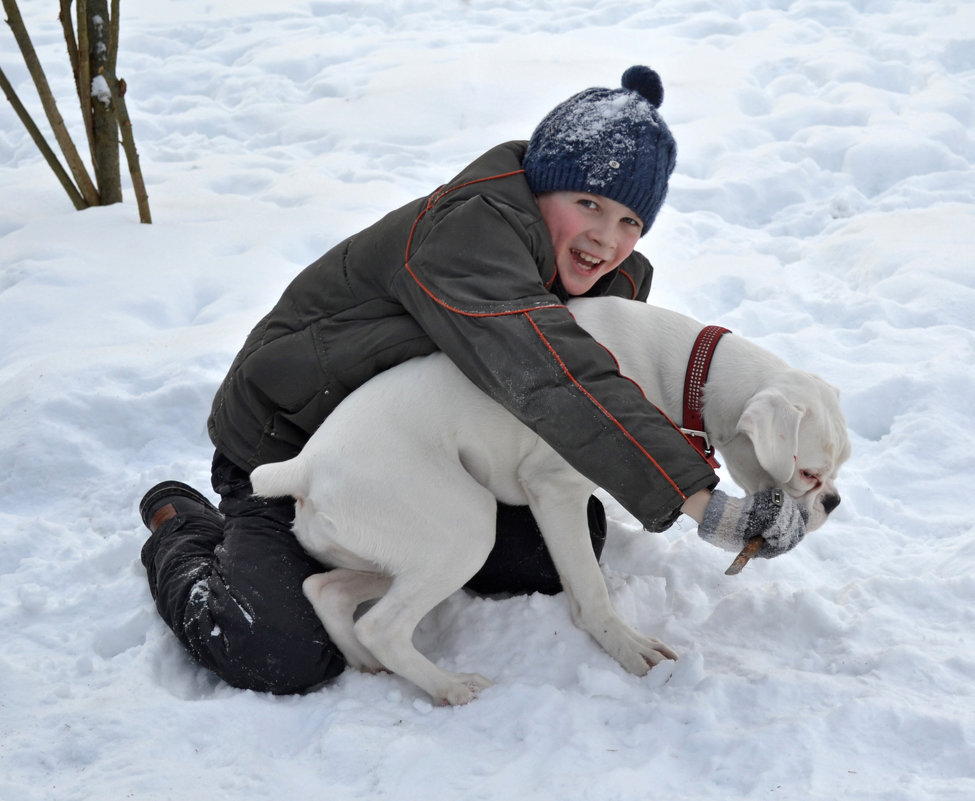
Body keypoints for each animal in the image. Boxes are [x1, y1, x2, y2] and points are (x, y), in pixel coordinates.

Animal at [254, 296, 856, 704]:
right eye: (807, 472)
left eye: (840, 465)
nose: (832, 502)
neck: (686, 370)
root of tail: (304, 466)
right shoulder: (556, 491)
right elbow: (590, 590)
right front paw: (627, 648)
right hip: (464, 530)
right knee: (381, 625)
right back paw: (451, 687)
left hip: (395, 552)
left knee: (326, 590)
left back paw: (367, 665)